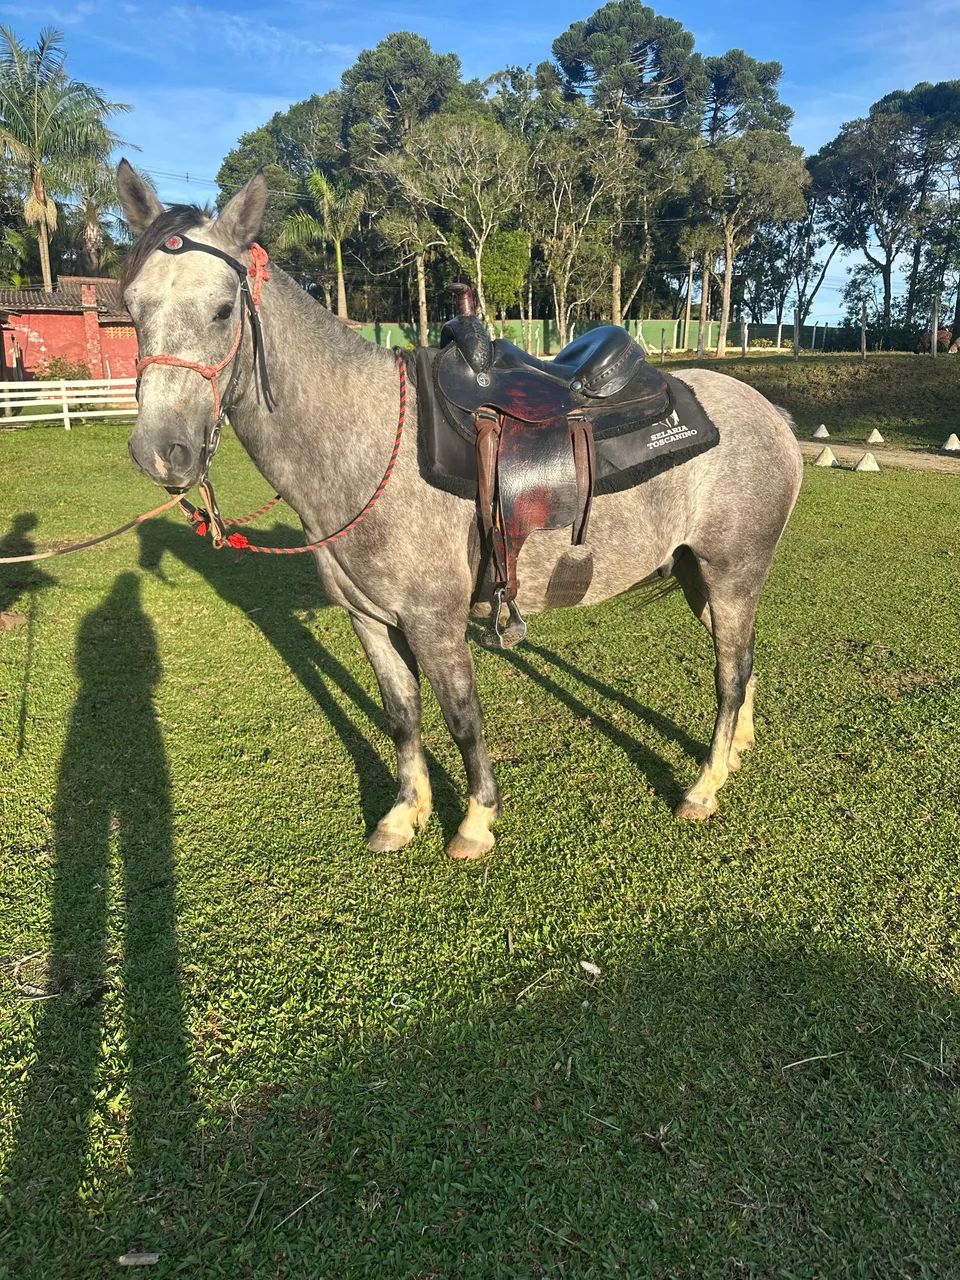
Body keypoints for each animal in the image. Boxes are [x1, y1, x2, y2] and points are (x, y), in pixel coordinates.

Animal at [116, 161, 803, 860]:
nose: (161, 452)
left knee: (730, 674)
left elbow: (461, 715)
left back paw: (705, 787)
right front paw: (403, 813)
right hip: (699, 575)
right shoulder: (369, 620)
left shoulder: (434, 622)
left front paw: (475, 819)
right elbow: (402, 715)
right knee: (742, 663)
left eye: (223, 310)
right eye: (131, 308)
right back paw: (735, 752)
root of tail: (770, 414)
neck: (367, 438)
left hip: (733, 572)